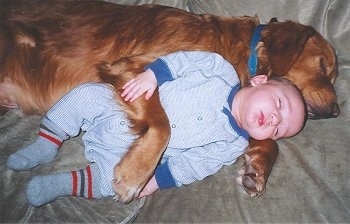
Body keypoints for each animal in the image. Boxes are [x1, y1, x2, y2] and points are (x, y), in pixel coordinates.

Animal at [0, 0, 340, 203]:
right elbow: (163, 124)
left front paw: (257, 169)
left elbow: (268, 141)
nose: (337, 111)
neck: (242, 51)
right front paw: (135, 173)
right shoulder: (130, 67)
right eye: (324, 65)